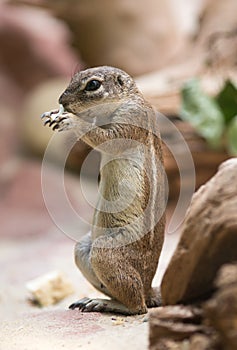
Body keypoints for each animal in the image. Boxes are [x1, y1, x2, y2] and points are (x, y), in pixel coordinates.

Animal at [41, 65, 165, 314]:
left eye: (93, 85)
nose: (61, 100)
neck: (127, 97)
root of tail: (149, 287)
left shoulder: (131, 117)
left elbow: (106, 137)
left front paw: (70, 120)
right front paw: (53, 113)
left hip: (105, 253)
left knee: (138, 306)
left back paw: (106, 303)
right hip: (83, 248)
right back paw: (93, 300)